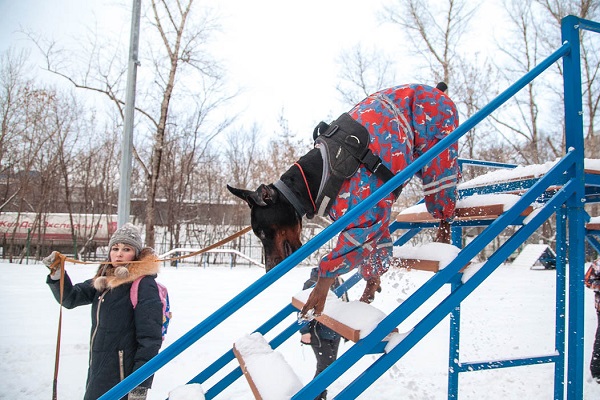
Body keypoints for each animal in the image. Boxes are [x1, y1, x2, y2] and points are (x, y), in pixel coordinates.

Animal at [229, 83, 460, 318]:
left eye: (263, 233)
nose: (269, 269)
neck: (312, 180)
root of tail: (436, 89)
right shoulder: (376, 219)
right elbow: (376, 249)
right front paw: (370, 287)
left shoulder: (366, 217)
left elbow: (346, 251)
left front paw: (318, 294)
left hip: (438, 148)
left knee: (443, 188)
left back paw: (443, 235)